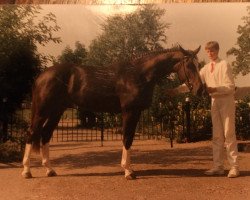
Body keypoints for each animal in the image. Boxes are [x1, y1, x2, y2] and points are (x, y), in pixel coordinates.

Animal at [22, 45, 203, 180]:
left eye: (198, 64)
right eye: (189, 65)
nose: (200, 89)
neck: (138, 74)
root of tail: (42, 76)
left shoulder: (136, 112)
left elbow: (130, 138)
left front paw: (129, 169)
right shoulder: (129, 111)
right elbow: (127, 138)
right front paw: (128, 171)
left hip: (56, 111)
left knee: (45, 135)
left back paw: (50, 170)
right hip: (43, 111)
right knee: (32, 133)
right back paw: (27, 171)